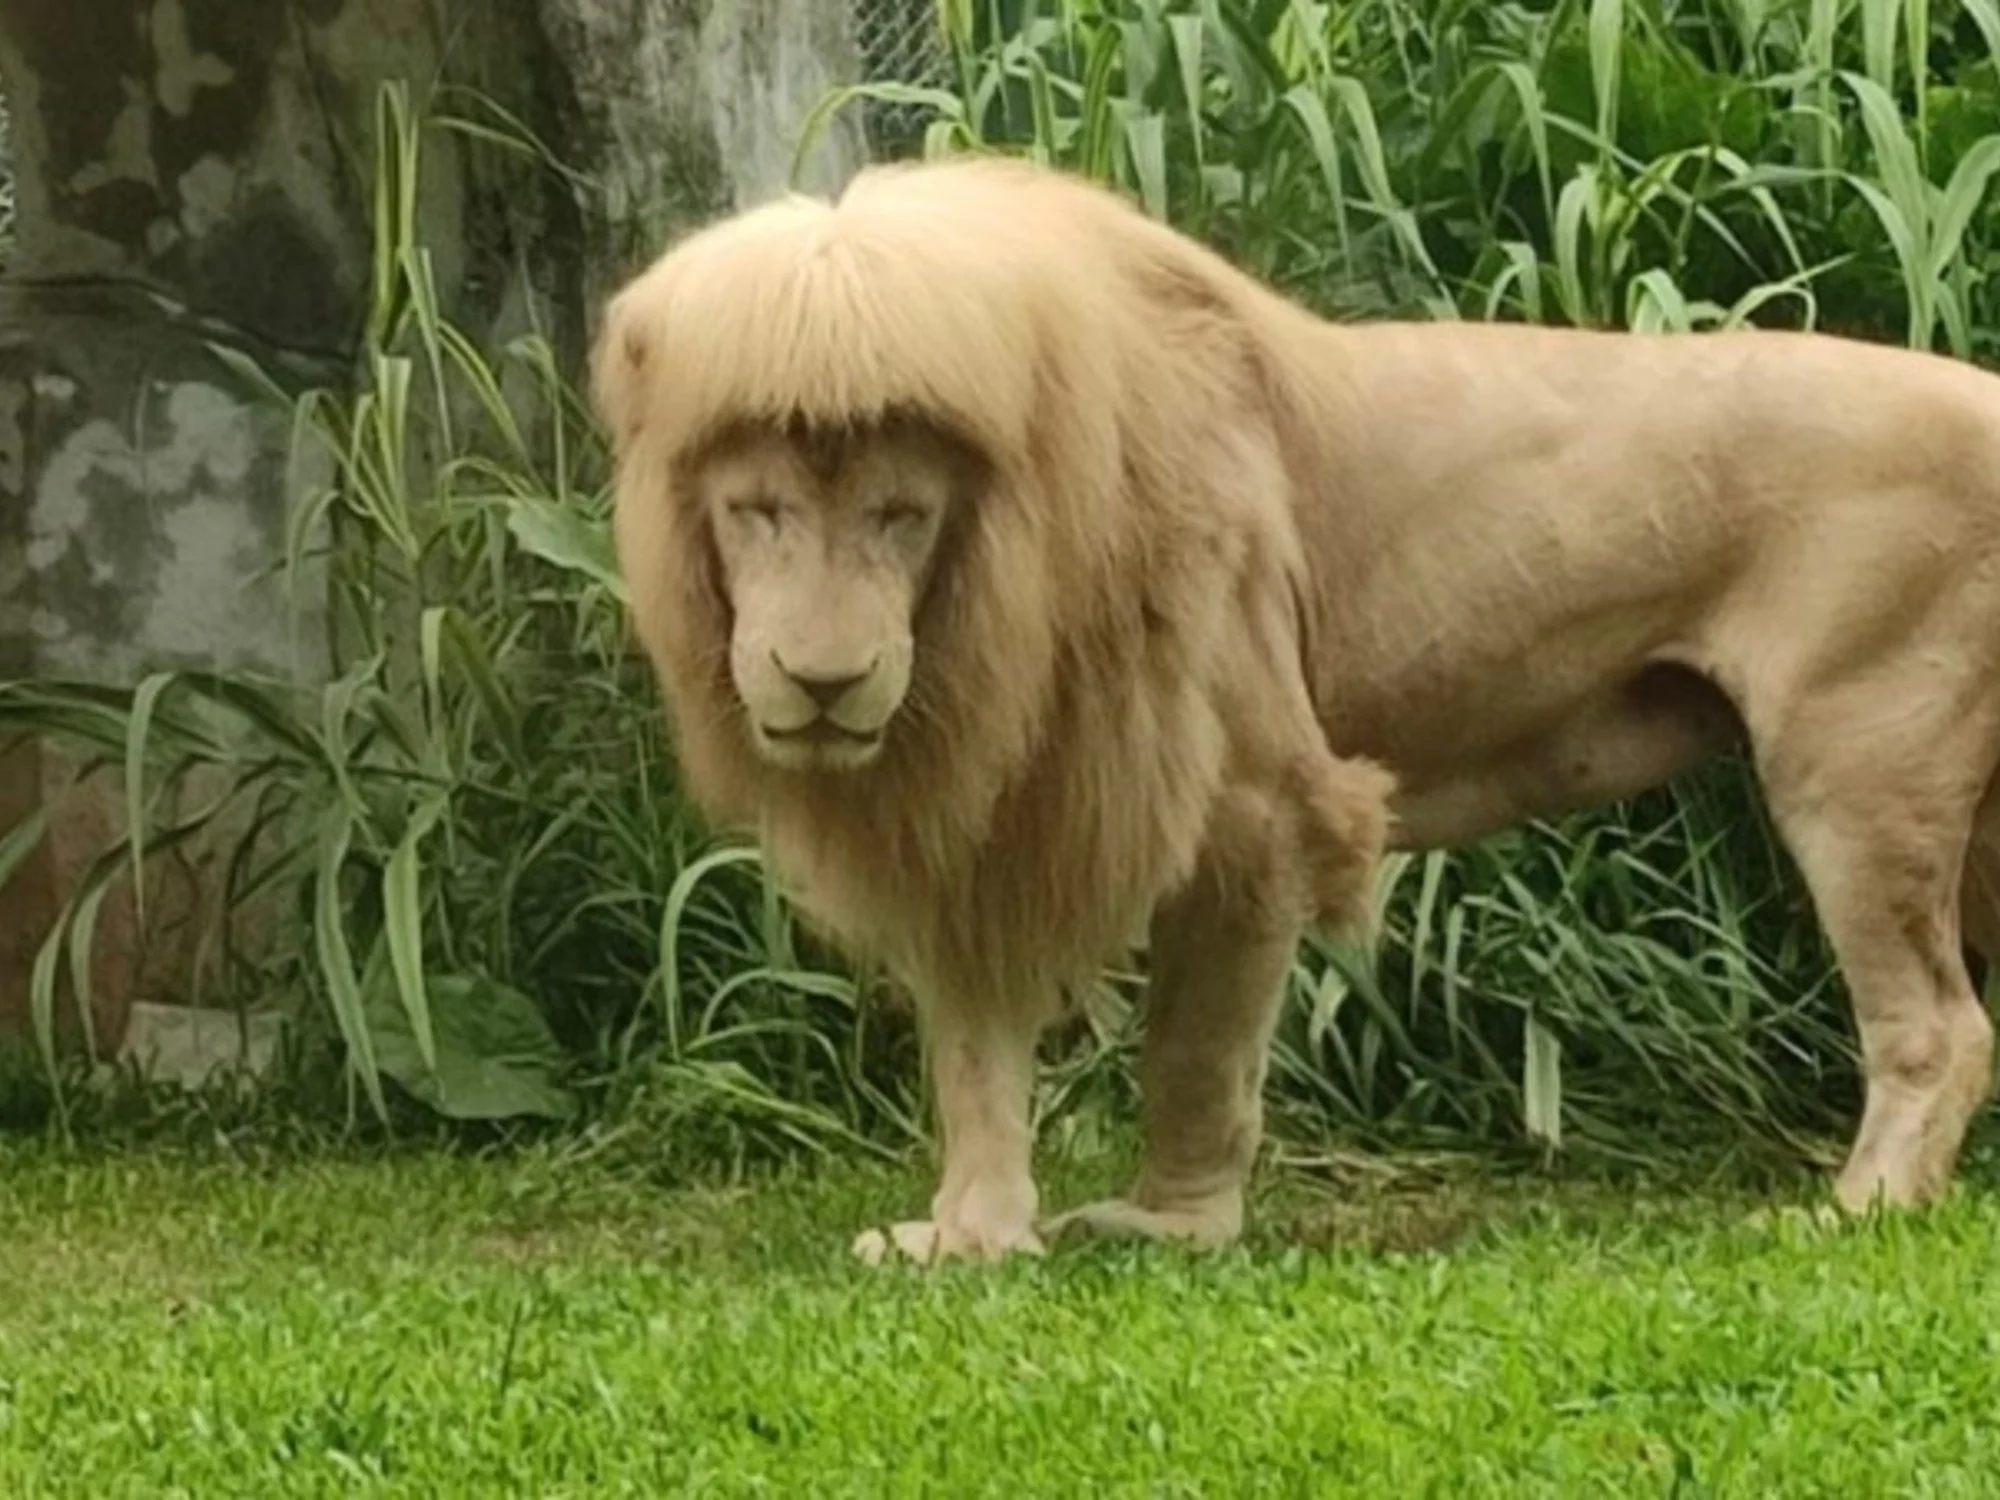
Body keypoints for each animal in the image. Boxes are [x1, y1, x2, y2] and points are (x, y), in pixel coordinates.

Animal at [596, 153, 2000, 1263]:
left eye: (900, 514)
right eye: (757, 512)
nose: (822, 679)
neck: (990, 597)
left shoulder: (1253, 803)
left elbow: (1194, 1047)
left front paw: (1171, 1227)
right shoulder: (992, 815)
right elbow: (975, 1057)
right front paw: (967, 1236)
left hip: (1856, 763)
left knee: (1938, 1024)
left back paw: (1857, 1208)